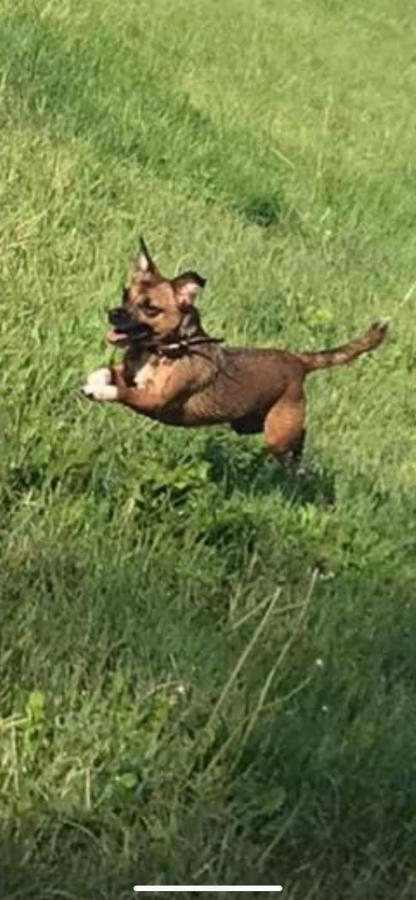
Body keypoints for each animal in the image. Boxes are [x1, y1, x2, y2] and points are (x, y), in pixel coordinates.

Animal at [83, 239, 388, 460]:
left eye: (150, 308)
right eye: (125, 295)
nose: (113, 313)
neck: (163, 349)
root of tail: (297, 361)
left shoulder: (153, 400)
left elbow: (122, 392)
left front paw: (101, 391)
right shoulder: (129, 373)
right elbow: (106, 371)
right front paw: (92, 381)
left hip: (276, 434)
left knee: (298, 437)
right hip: (246, 423)